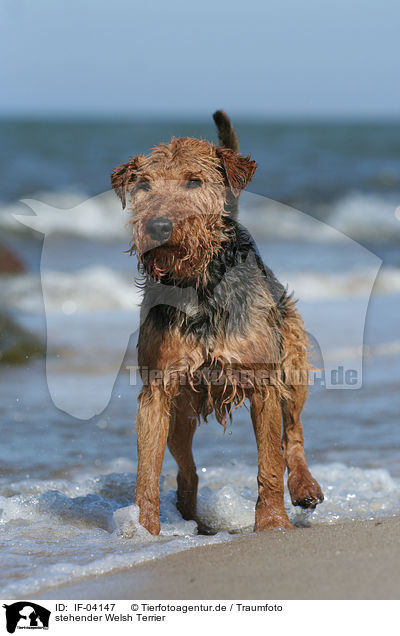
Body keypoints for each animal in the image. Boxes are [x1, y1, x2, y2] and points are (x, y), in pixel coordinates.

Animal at [111, 112, 324, 536]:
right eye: (143, 185)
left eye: (194, 180)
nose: (158, 226)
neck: (199, 287)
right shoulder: (157, 390)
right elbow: (147, 472)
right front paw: (143, 530)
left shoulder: (263, 383)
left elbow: (269, 464)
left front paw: (273, 523)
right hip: (181, 412)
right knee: (186, 469)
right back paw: (190, 519)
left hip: (292, 367)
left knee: (293, 435)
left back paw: (305, 487)